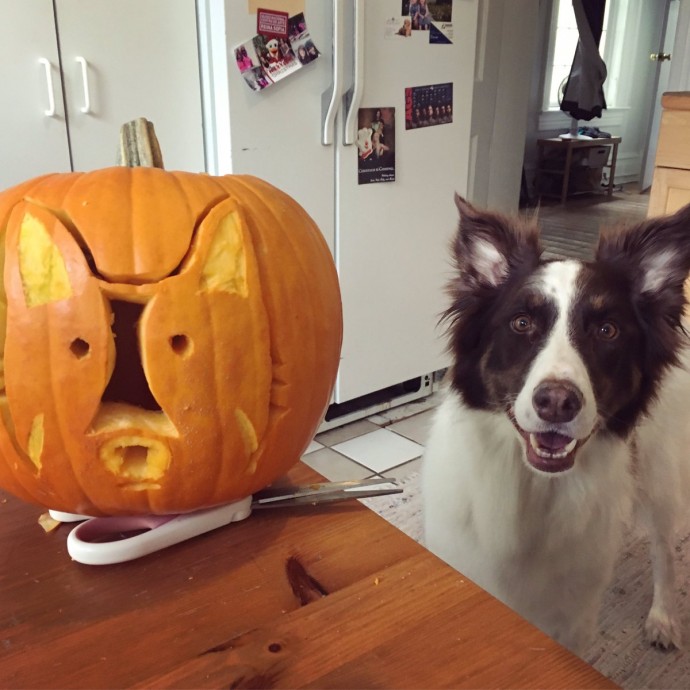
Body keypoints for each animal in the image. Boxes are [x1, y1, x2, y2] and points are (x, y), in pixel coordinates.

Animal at [422, 196, 690, 652]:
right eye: (521, 323)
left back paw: (663, 617)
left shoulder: (573, 623)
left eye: (607, 330)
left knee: (663, 547)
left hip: (659, 470)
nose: (557, 403)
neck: (533, 488)